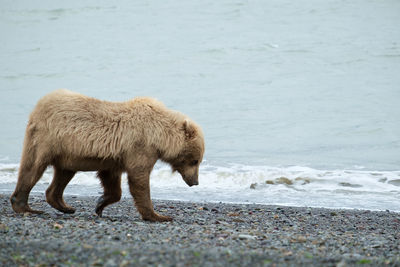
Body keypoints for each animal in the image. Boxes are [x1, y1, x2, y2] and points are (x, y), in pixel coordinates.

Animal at [10, 89, 203, 222]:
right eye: (195, 161)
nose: (195, 182)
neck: (161, 136)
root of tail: (37, 108)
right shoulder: (141, 147)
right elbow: (139, 178)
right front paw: (159, 216)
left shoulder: (115, 158)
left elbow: (112, 181)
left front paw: (100, 204)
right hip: (47, 140)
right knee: (32, 168)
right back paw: (26, 207)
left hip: (66, 154)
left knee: (62, 175)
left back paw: (65, 206)